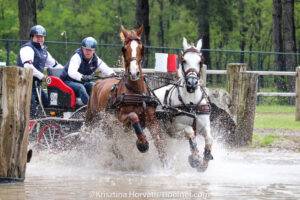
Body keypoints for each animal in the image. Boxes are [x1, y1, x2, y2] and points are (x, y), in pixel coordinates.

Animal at [86, 25, 166, 163]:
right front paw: (142, 143)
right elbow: (133, 116)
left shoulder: (152, 121)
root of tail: (98, 82)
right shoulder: (121, 119)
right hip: (94, 119)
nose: (134, 73)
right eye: (124, 49)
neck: (137, 94)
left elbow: (160, 145)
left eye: (142, 48)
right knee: (111, 143)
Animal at [155, 37, 213, 172]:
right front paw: (195, 158)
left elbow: (209, 139)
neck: (191, 103)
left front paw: (204, 161)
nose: (192, 83)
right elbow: (189, 131)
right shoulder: (175, 128)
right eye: (184, 60)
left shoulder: (204, 124)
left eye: (200, 61)